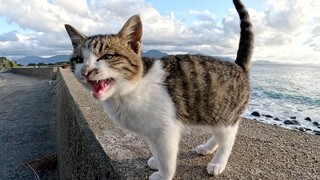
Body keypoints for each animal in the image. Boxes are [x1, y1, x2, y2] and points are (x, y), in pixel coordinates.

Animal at [65, 0, 254, 179]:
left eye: (107, 56)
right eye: (79, 60)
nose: (85, 71)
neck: (130, 89)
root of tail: (238, 66)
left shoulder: (166, 130)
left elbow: (167, 157)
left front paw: (164, 175)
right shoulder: (152, 131)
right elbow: (156, 149)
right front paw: (156, 161)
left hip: (226, 114)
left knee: (228, 140)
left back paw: (218, 163)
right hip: (212, 110)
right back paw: (207, 148)